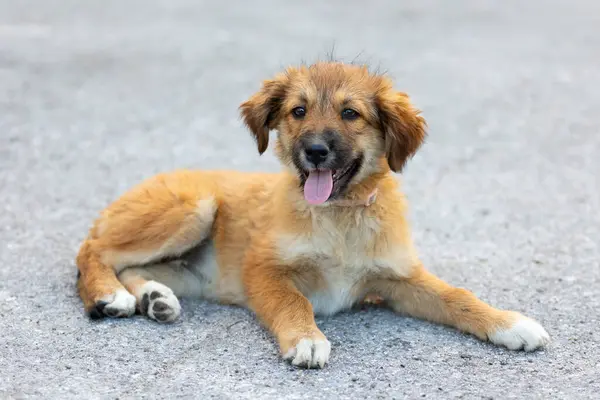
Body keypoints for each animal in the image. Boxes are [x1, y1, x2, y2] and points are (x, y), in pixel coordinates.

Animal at [74, 61, 548, 368]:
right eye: (298, 112)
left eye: (350, 113)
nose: (315, 150)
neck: (340, 216)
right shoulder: (263, 269)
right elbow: (293, 300)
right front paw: (306, 337)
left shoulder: (400, 279)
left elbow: (457, 296)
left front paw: (510, 324)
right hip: (194, 207)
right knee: (94, 250)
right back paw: (110, 294)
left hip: (191, 267)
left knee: (132, 266)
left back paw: (155, 298)